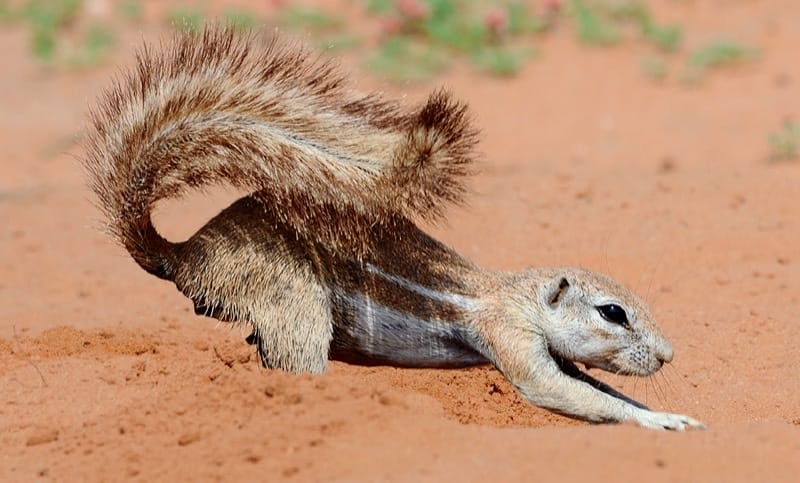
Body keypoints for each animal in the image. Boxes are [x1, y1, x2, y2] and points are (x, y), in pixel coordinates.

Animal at [82, 25, 705, 431]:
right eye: (612, 312)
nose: (669, 355)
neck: (518, 295)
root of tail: (183, 253)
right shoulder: (512, 338)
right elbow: (564, 394)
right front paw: (665, 423)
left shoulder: (553, 351)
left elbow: (595, 386)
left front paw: (663, 411)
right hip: (292, 304)